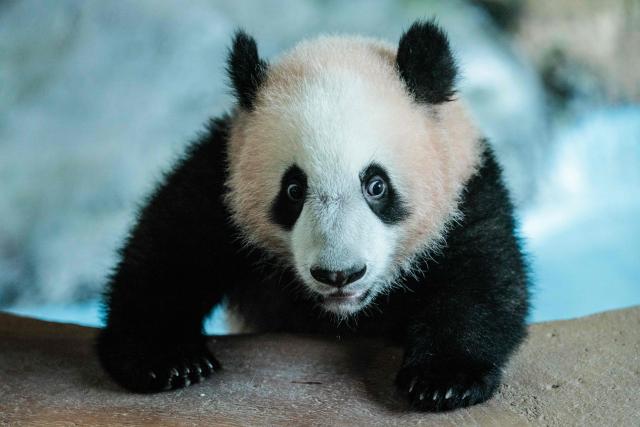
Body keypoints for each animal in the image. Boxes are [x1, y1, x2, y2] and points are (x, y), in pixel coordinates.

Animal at [97, 20, 529, 412]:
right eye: (293, 190)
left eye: (376, 185)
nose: (339, 274)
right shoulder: (219, 177)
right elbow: (168, 255)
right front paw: (167, 361)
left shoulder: (468, 190)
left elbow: (482, 281)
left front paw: (443, 380)